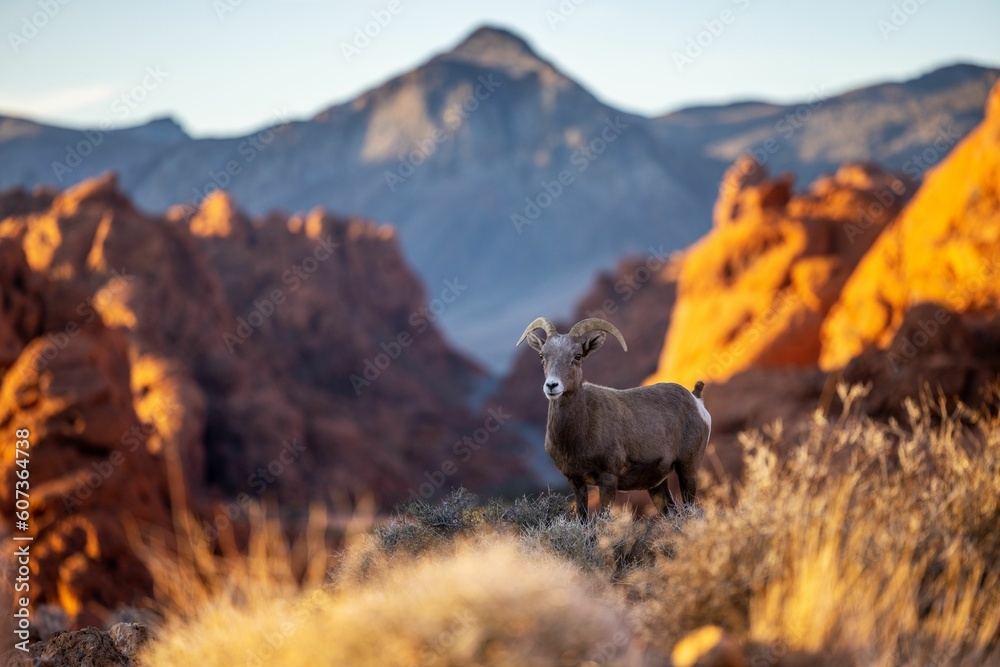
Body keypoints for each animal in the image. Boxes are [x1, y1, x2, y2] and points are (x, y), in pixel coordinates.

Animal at [516, 317, 711, 519]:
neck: (579, 434)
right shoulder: (576, 482)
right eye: (542, 356)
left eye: (577, 356)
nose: (552, 385)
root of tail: (695, 398)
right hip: (657, 485)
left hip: (688, 468)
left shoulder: (608, 479)